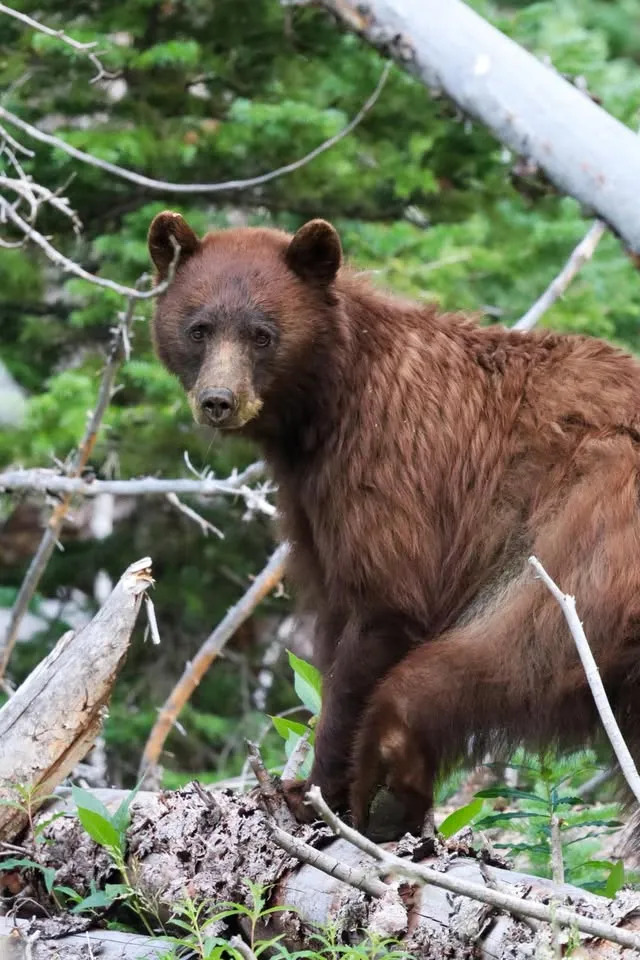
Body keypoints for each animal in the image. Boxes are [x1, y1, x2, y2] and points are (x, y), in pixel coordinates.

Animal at [148, 210, 640, 840]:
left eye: (262, 333)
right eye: (199, 328)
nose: (218, 400)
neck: (328, 399)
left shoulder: (386, 465)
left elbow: (382, 608)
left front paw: (316, 792)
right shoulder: (310, 502)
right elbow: (334, 614)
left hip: (586, 534)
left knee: (509, 649)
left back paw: (388, 787)